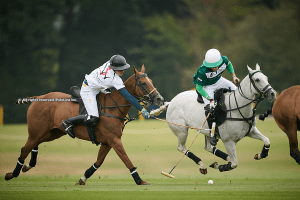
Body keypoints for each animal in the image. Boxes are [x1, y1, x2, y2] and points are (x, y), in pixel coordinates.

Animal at [4, 65, 164, 184]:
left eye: (151, 81)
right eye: (143, 83)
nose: (159, 98)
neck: (113, 107)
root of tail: (38, 98)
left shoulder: (108, 142)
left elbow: (99, 161)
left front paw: (83, 178)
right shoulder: (114, 140)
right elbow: (126, 159)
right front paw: (140, 181)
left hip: (52, 133)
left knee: (32, 146)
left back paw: (26, 166)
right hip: (37, 132)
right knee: (25, 149)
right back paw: (12, 174)